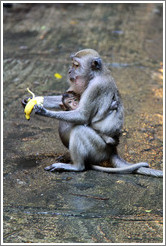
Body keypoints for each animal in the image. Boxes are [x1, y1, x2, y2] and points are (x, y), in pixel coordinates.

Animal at [33, 48, 162, 177]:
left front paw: (43, 111)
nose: (69, 71)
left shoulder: (97, 86)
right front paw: (31, 101)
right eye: (73, 64)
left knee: (79, 130)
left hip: (99, 149)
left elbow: (82, 115)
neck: (94, 76)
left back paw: (76, 166)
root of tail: (112, 151)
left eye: (76, 65)